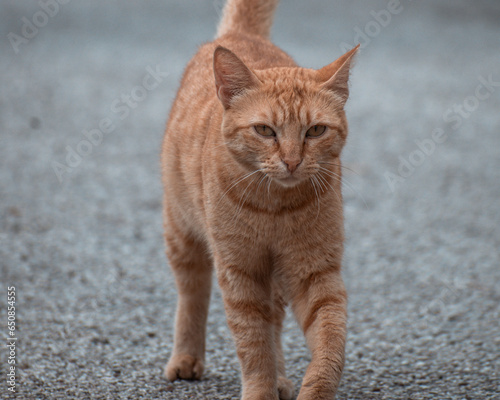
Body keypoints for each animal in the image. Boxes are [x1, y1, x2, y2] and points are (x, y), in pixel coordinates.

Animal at [162, 0, 358, 400]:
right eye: (265, 131)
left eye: (315, 130)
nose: (292, 161)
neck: (275, 207)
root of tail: (241, 34)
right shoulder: (240, 272)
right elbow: (253, 344)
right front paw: (260, 389)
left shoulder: (314, 271)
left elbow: (329, 340)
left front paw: (312, 388)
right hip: (182, 232)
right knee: (192, 293)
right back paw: (186, 357)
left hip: (277, 276)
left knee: (276, 319)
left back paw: (282, 378)